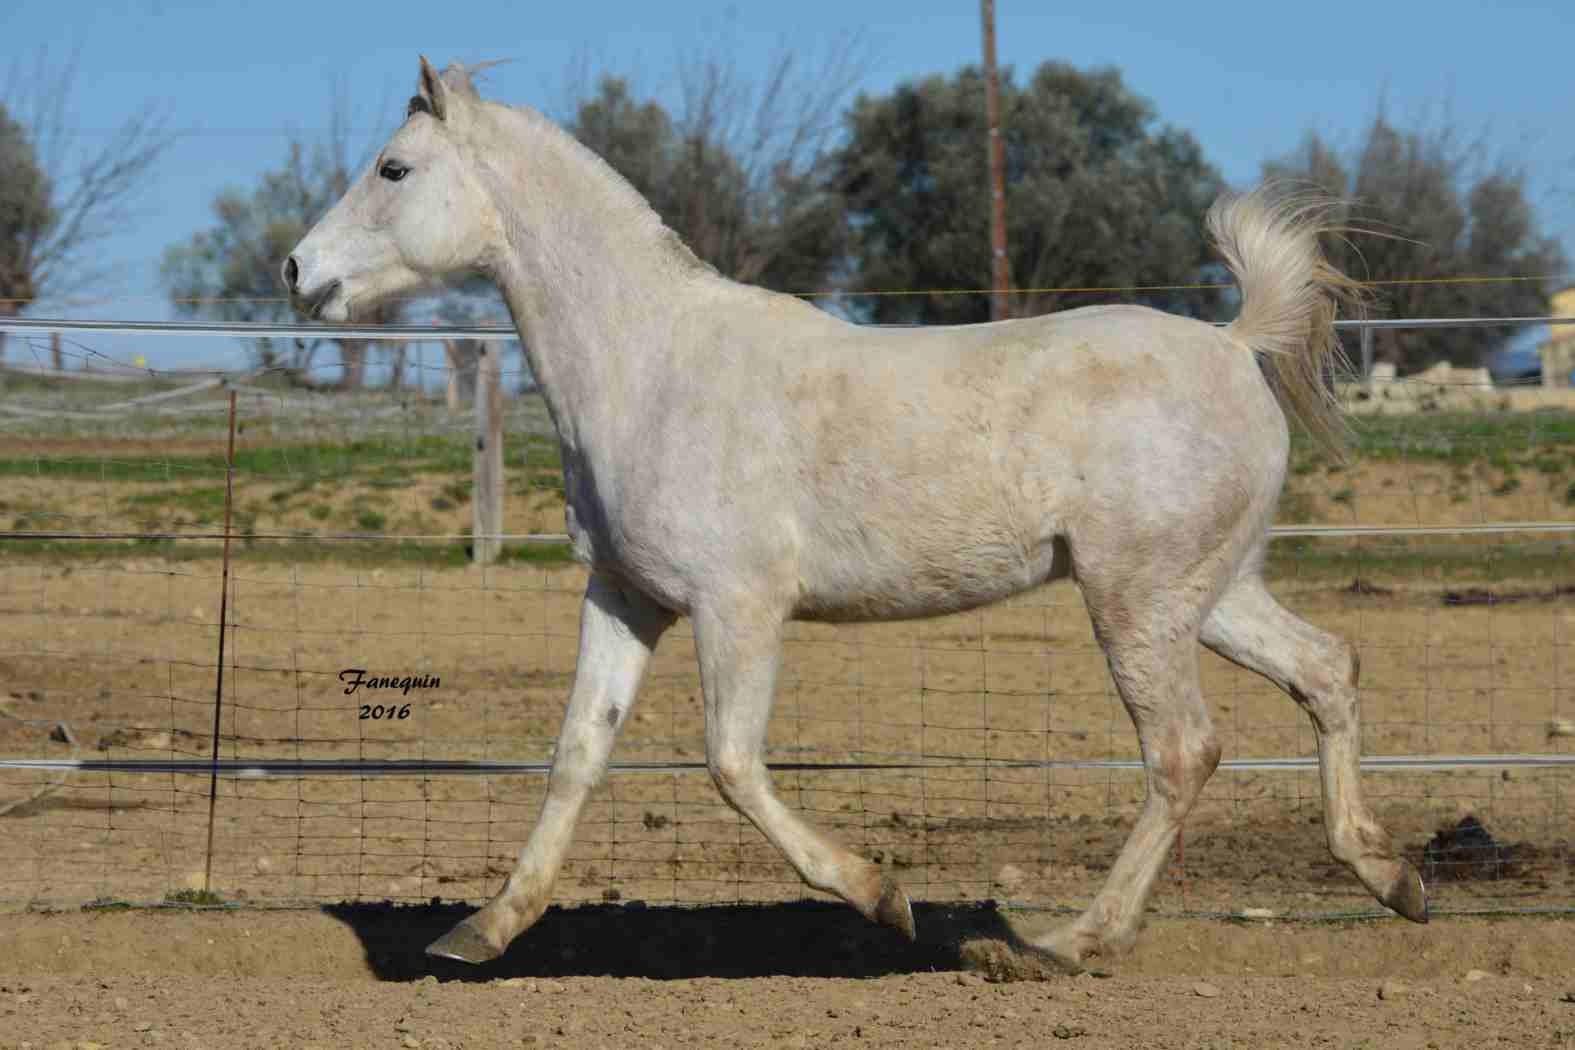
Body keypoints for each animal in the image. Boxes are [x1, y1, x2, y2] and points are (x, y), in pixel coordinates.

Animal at [286, 61, 1430, 976]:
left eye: (393, 169)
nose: (298, 271)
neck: (652, 364)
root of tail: (1236, 346)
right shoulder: (625, 597)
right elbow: (577, 753)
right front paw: (480, 932)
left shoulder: (737, 607)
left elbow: (731, 763)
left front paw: (886, 898)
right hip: (1213, 593)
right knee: (1326, 670)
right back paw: (1392, 877)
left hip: (1137, 603)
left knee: (1184, 751)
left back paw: (1064, 944)